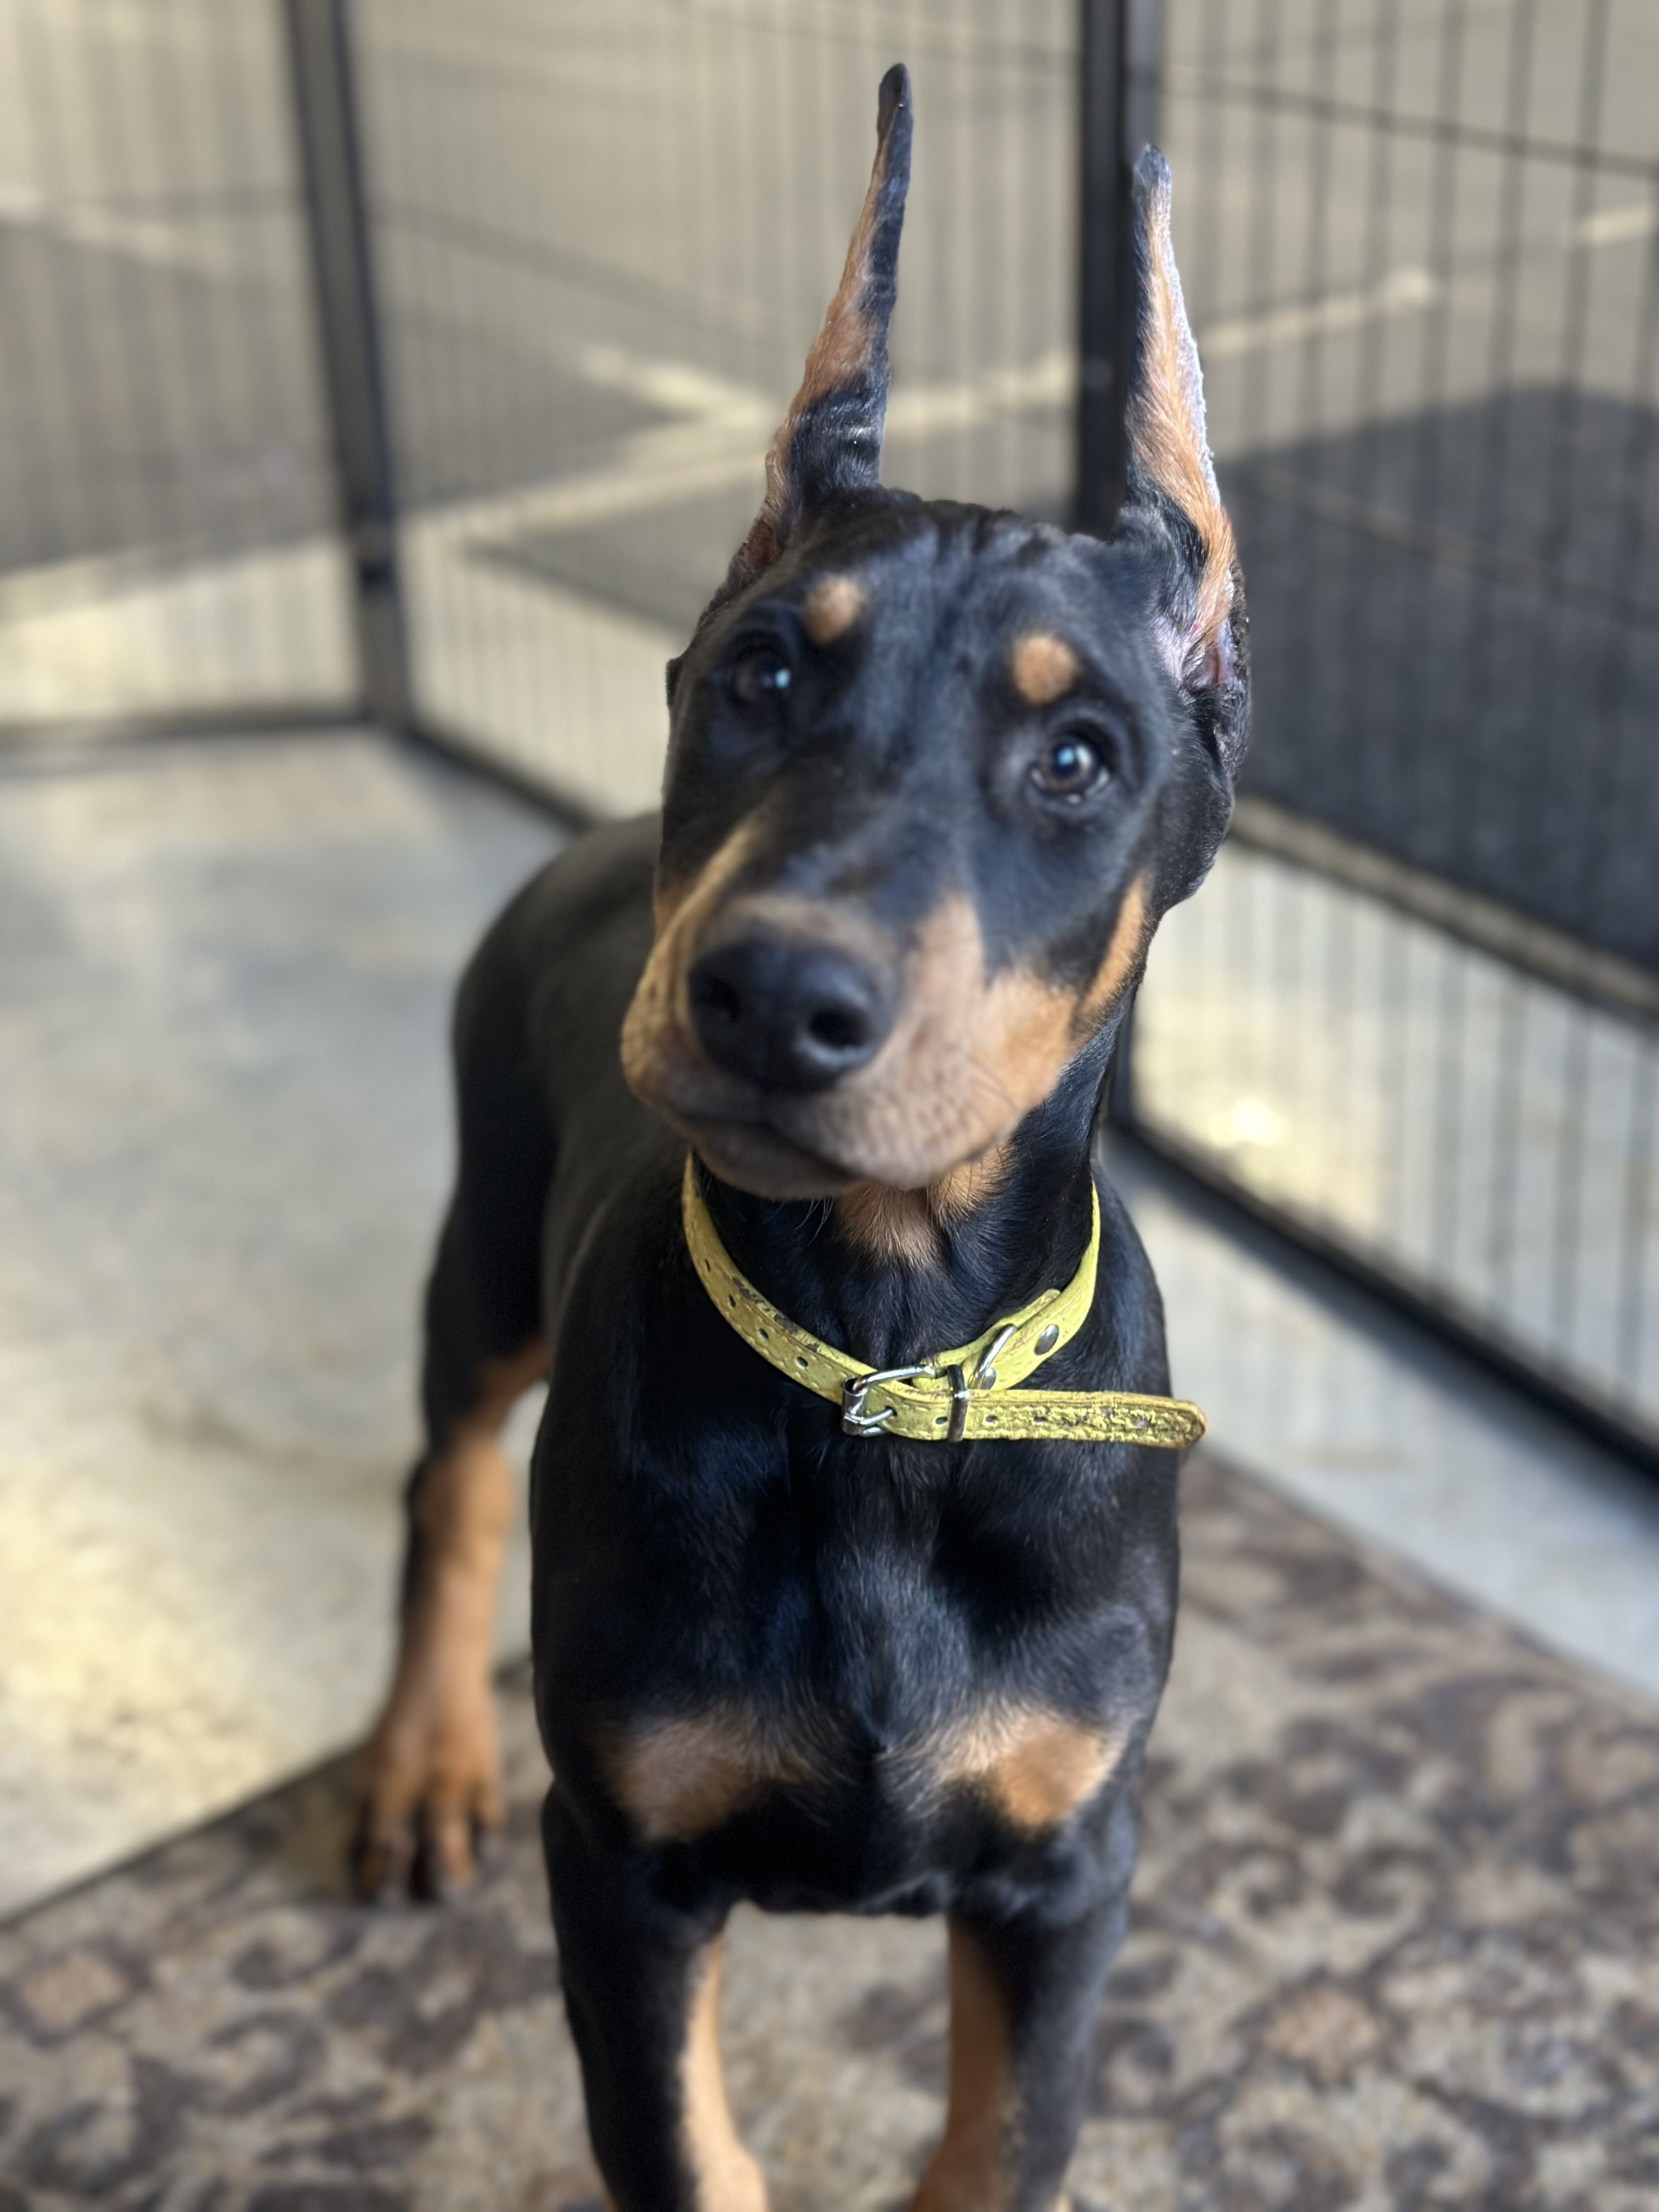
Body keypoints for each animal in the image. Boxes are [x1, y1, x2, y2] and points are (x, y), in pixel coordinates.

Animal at [352, 64, 1247, 2212]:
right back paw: (419, 1760)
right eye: (760, 667)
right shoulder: (624, 1859)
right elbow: (676, 2139)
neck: (880, 1355)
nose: (767, 995)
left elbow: (1002, 2140)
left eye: (1077, 757)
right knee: (445, 1477)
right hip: (481, 1246)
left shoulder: (1067, 1866)